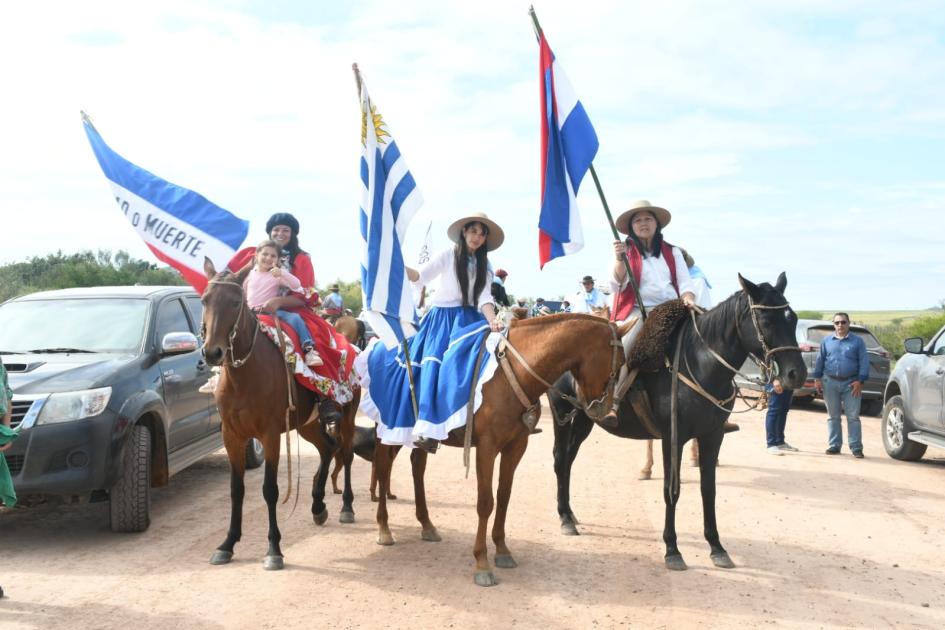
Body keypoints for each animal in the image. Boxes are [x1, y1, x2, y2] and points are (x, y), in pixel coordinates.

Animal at [201, 262, 360, 572]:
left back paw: (346, 506)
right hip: (306, 425)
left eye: (235, 302)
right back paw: (318, 505)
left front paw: (274, 548)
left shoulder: (270, 434)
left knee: (346, 454)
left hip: (347, 417)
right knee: (328, 448)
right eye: (204, 300)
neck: (244, 376)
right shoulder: (231, 436)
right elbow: (236, 490)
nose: (212, 352)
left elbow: (270, 490)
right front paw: (227, 544)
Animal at [370, 314, 628, 588]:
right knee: (383, 468)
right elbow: (486, 502)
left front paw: (502, 551)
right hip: (388, 430)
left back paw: (427, 525)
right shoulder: (486, 447)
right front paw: (482, 563)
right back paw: (384, 529)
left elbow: (504, 497)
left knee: (417, 467)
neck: (514, 373)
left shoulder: (516, 446)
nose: (606, 412)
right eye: (621, 361)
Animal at [548, 274, 808, 572]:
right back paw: (564, 519)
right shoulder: (673, 437)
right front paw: (672, 549)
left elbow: (709, 489)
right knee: (560, 460)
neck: (701, 365)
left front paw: (716, 546)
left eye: (793, 318)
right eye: (766, 321)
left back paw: (570, 514)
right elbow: (671, 491)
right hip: (561, 412)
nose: (797, 374)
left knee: (568, 461)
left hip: (583, 420)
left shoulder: (712, 436)